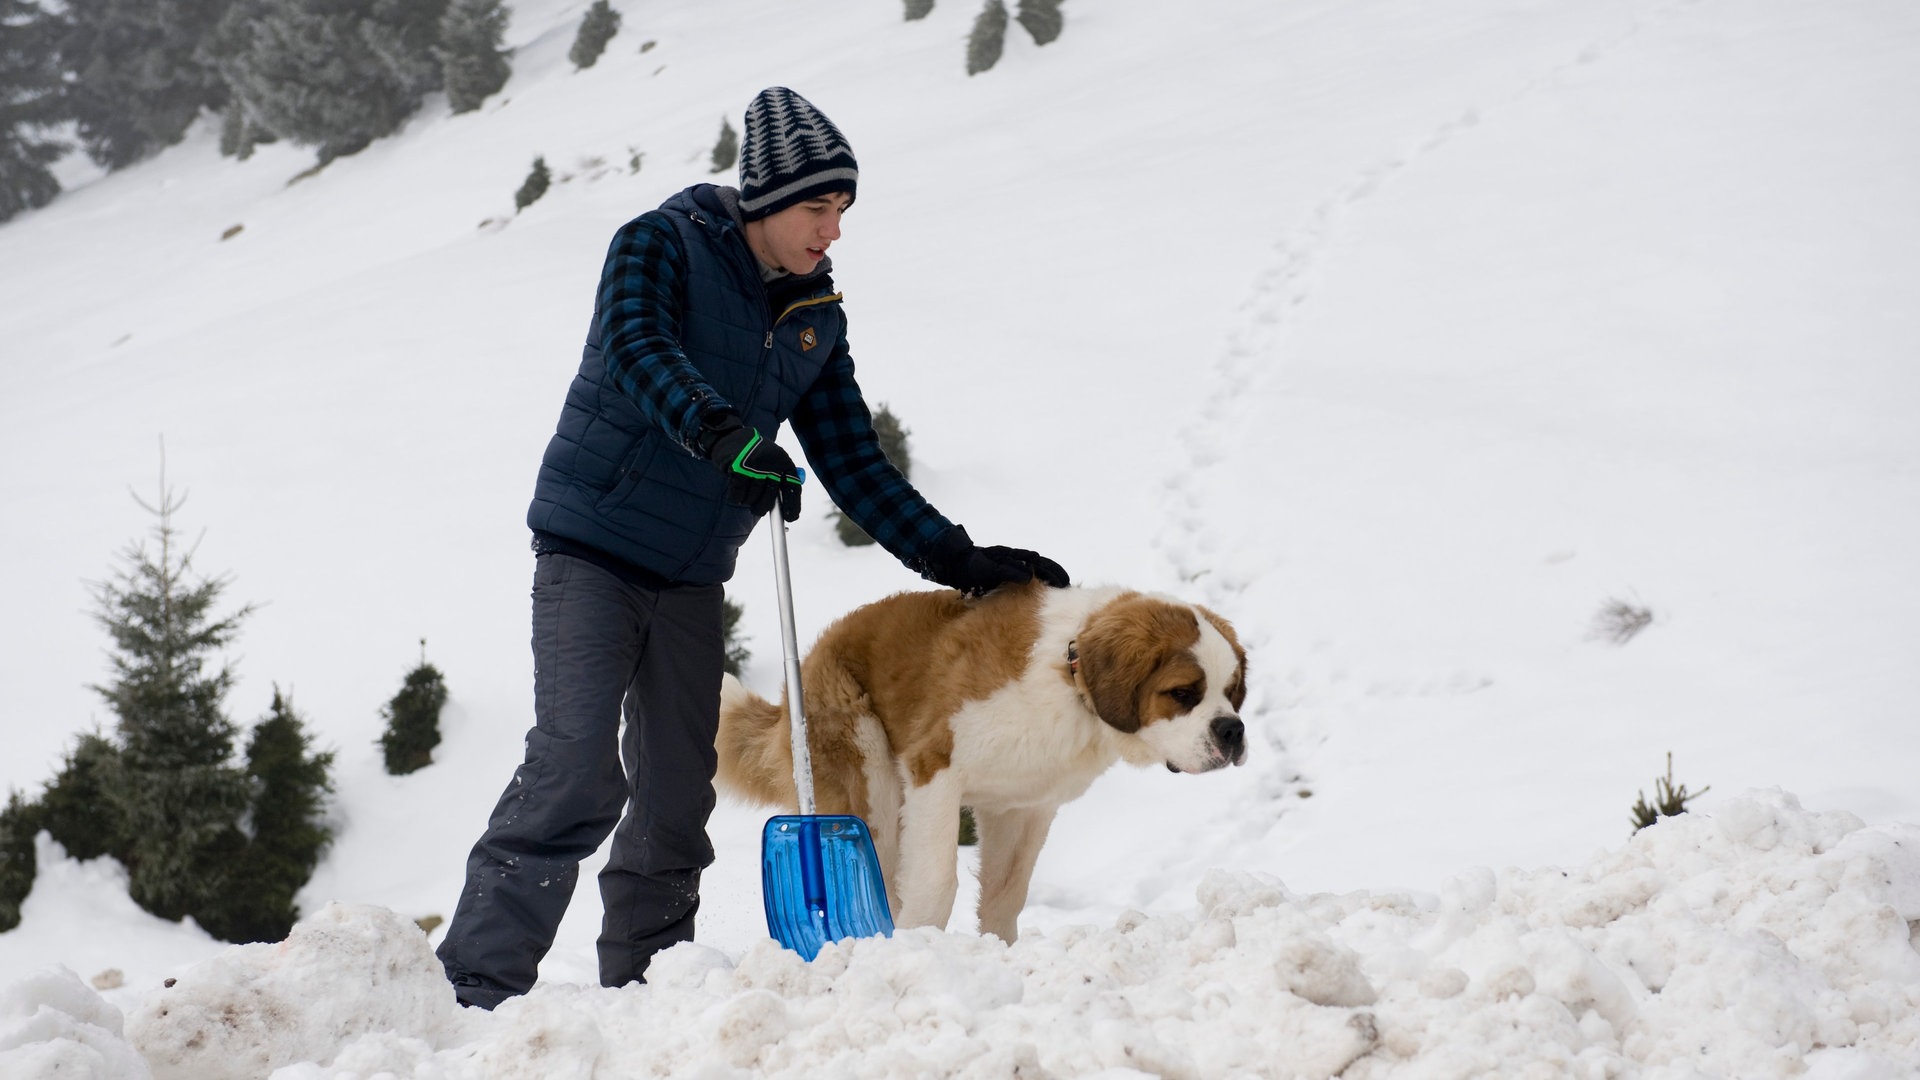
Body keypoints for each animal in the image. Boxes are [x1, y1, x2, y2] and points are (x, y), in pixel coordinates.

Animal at [718, 576, 1244, 937]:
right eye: (1183, 693)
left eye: (1233, 692)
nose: (1233, 730)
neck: (1070, 678)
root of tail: (805, 667)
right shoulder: (934, 770)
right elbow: (935, 884)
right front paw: (920, 947)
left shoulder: (1024, 806)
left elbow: (1006, 894)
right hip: (869, 775)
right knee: (874, 869)